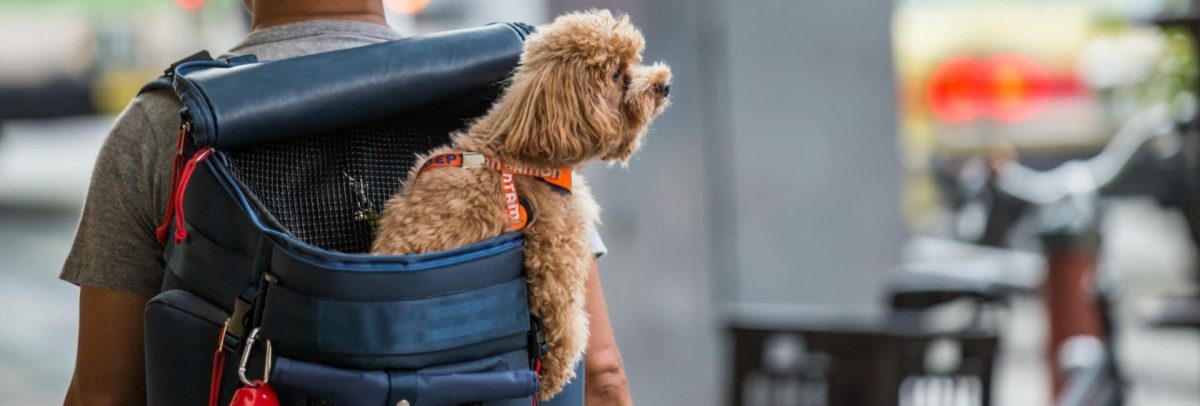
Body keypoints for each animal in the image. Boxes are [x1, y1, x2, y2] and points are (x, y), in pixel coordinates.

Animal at [372, 10, 672, 398]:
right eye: (617, 75)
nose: (664, 85)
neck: (526, 151)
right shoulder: (556, 256)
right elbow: (566, 325)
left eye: (635, 60)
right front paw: (554, 377)